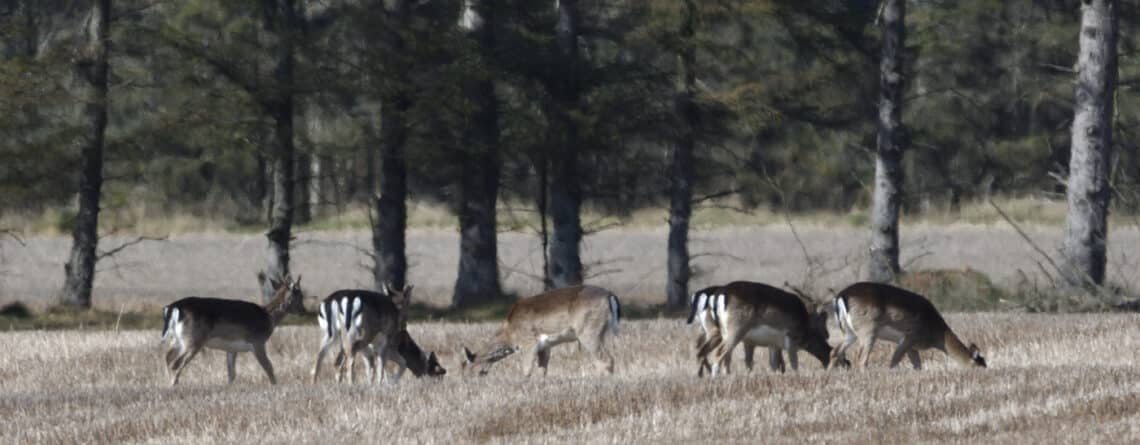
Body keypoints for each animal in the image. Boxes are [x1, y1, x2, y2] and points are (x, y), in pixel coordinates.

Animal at [160, 272, 305, 383]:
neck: (268, 317)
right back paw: (173, 384)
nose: (304, 311)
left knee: (168, 356)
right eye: (299, 295)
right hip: (193, 339)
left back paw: (167, 384)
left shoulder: (232, 348)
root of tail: (173, 307)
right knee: (176, 363)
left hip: (178, 339)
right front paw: (275, 385)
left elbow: (231, 373)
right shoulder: (257, 341)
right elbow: (269, 367)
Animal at [460, 285, 624, 376]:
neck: (510, 333)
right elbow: (542, 370)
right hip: (602, 331)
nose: (468, 382)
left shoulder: (529, 342)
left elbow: (526, 371)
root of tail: (610, 296)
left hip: (588, 331)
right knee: (603, 359)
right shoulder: (545, 346)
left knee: (605, 359)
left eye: (468, 369)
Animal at [688, 279, 834, 376]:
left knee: (707, 352)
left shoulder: (771, 344)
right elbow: (794, 364)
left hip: (719, 332)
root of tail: (720, 294)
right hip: (734, 330)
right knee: (718, 353)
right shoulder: (790, 339)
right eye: (824, 331)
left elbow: (772, 364)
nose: (847, 363)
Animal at [829, 282, 989, 369]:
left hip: (849, 333)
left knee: (834, 352)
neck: (936, 333)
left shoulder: (912, 347)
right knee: (861, 360)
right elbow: (893, 362)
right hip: (868, 330)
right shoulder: (909, 338)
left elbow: (918, 366)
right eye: (979, 366)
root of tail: (842, 296)